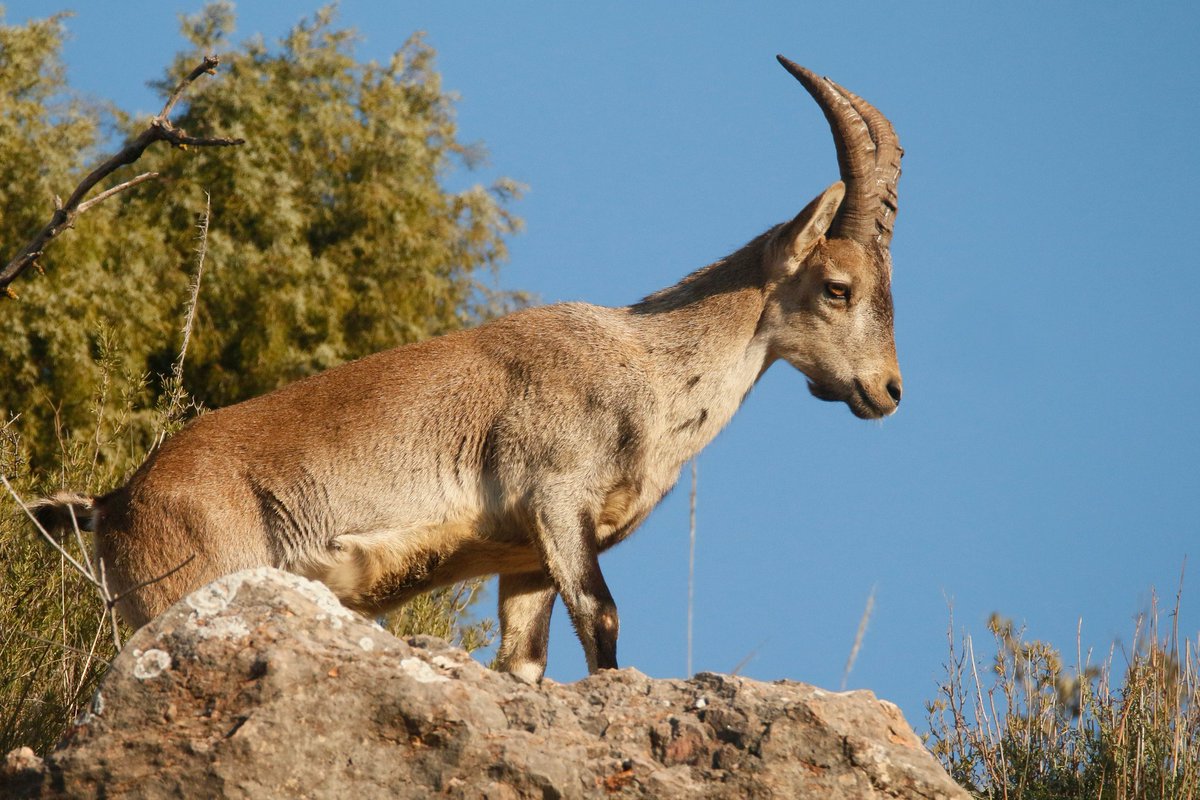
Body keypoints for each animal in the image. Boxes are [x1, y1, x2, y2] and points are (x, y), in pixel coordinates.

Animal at [33, 57, 904, 681]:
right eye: (839, 287)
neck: (648, 369)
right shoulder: (556, 498)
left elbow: (523, 662)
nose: (888, 391)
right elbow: (603, 621)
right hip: (187, 586)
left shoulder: (524, 559)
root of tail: (113, 504)